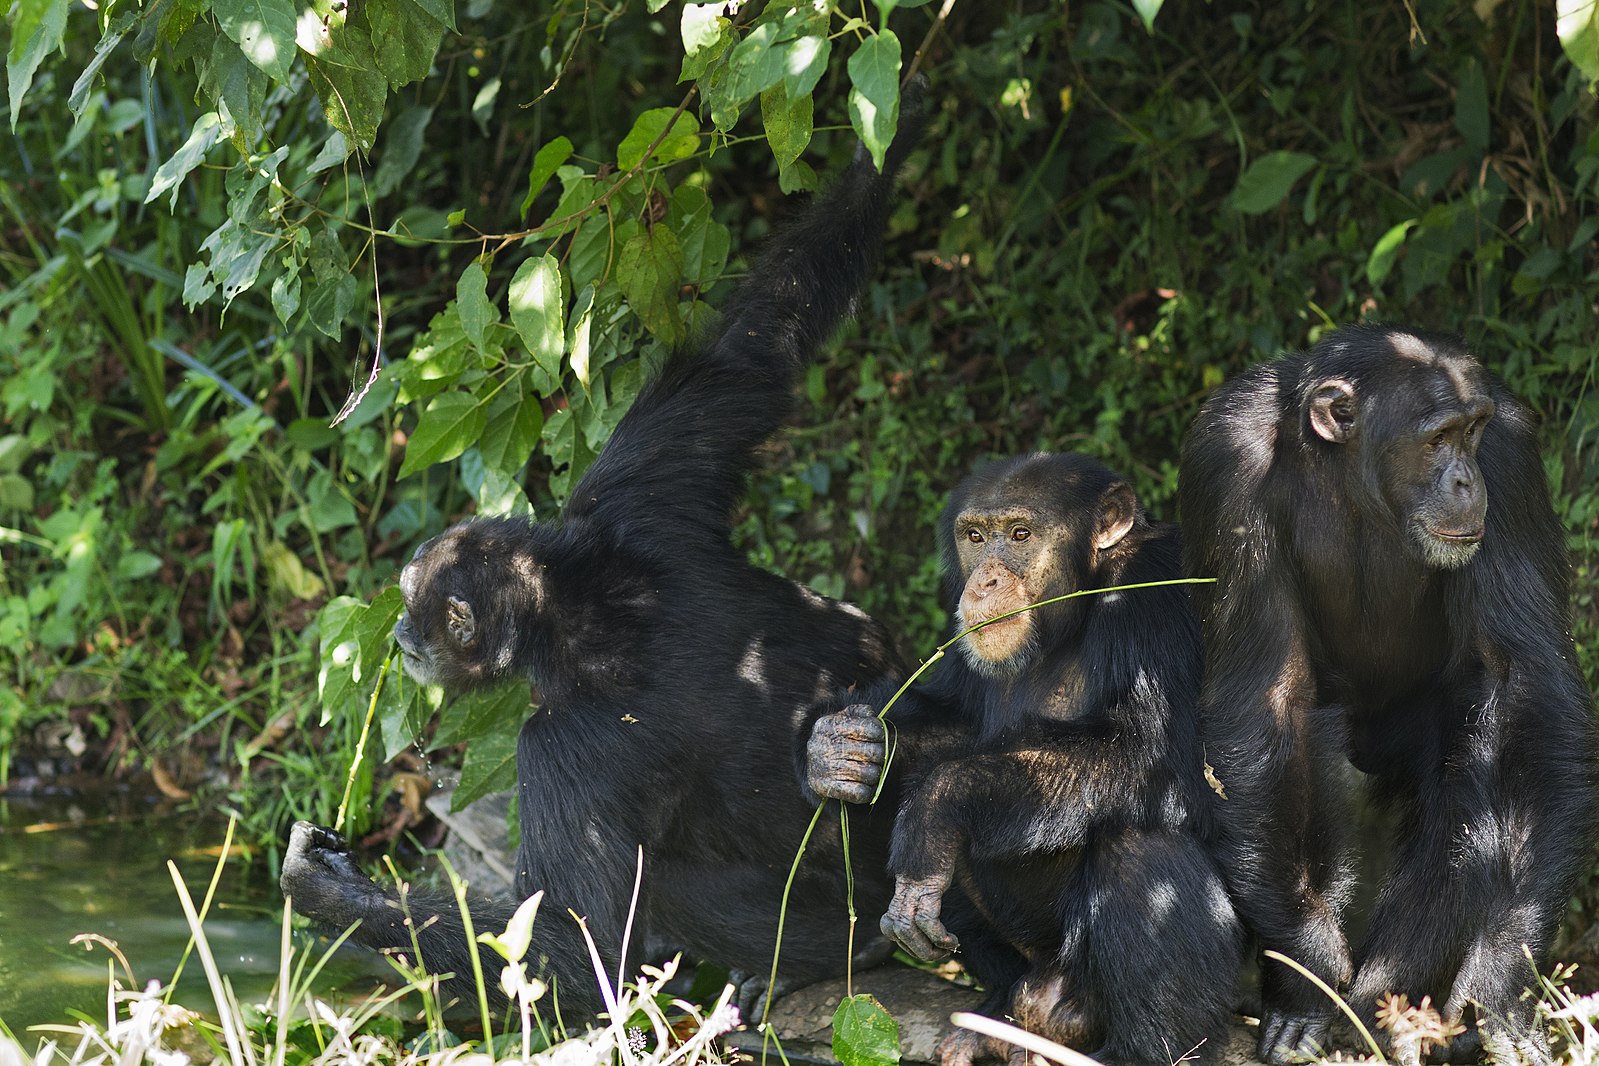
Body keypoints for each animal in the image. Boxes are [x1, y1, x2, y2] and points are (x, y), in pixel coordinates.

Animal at [278, 93, 927, 1016]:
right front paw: (896, 123)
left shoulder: (556, 748)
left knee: (672, 886)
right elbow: (755, 345)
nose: (399, 636)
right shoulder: (633, 482)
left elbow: (563, 949)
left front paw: (328, 890)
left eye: (413, 606)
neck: (571, 602)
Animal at [805, 453, 1240, 1066]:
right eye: (975, 536)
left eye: (1019, 535)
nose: (985, 579)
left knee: (1142, 852)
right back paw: (995, 1016)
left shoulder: (1157, 598)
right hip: (1031, 964)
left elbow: (1153, 755)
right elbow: (957, 718)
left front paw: (935, 813)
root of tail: (1048, 995)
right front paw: (844, 749)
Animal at [1183, 326, 1592, 1066]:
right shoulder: (1222, 462)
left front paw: (1499, 977)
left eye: (1471, 432)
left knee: (1469, 780)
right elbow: (1265, 695)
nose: (1464, 478)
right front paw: (1307, 976)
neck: (1351, 478)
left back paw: (1390, 1006)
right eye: (1437, 438)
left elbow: (1524, 684)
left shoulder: (1511, 458)